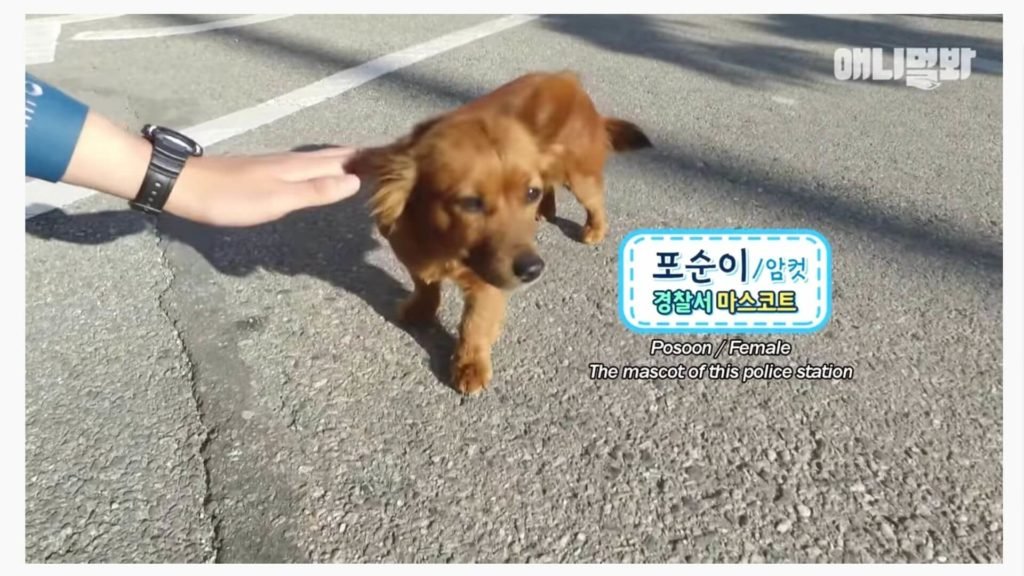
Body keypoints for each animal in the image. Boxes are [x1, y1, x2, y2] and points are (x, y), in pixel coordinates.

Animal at [348, 70, 651, 393]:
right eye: (470, 203)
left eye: (529, 193)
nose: (533, 270)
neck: (446, 246)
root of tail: (567, 79)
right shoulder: (414, 257)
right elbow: (426, 288)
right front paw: (420, 311)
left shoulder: (487, 285)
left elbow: (473, 325)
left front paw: (470, 365)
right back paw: (546, 211)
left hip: (579, 177)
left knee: (595, 202)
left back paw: (594, 230)